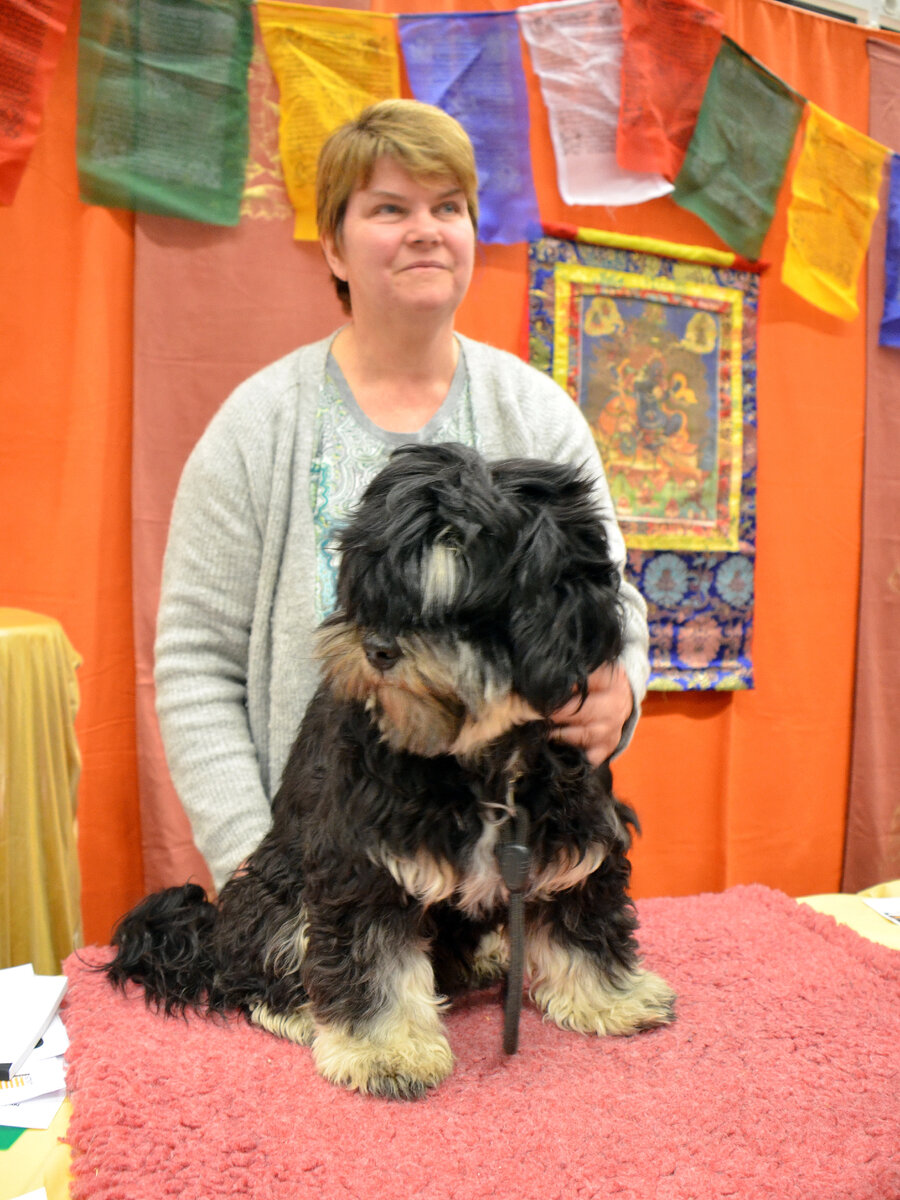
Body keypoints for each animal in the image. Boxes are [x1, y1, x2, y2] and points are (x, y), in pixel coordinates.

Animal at [105, 441, 672, 1099]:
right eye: (373, 590)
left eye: (457, 597)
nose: (376, 646)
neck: (478, 760)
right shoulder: (363, 863)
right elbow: (373, 960)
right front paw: (384, 1051)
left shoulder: (574, 826)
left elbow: (584, 916)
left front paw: (613, 995)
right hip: (274, 896)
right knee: (259, 970)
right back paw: (297, 1010)